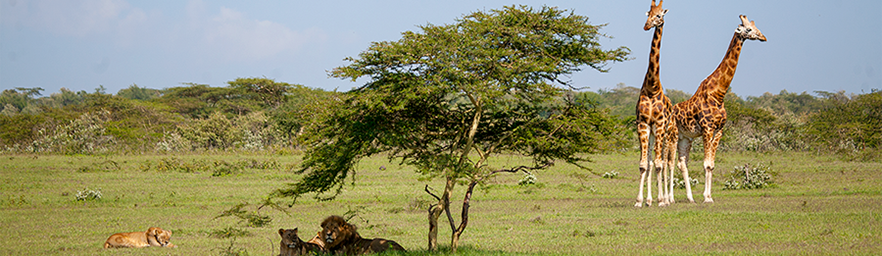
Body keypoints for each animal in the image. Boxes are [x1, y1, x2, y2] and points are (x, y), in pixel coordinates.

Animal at [672, 15, 764, 203]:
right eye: (748, 29)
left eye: (755, 27)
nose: (763, 37)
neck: (719, 94)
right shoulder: (707, 129)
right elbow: (706, 164)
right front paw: (707, 198)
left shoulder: (719, 130)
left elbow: (711, 165)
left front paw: (707, 196)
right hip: (672, 135)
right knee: (666, 161)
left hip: (685, 138)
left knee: (681, 163)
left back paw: (690, 198)